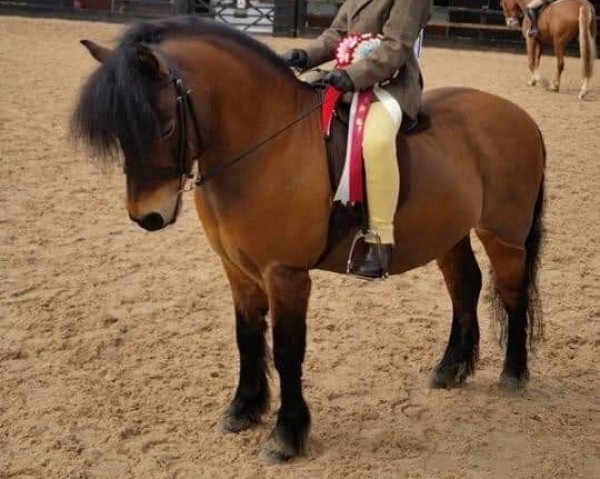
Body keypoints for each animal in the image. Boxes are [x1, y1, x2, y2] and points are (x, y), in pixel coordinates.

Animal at [72, 16, 548, 464]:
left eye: (167, 127)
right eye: (120, 131)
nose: (148, 216)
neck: (264, 143)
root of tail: (520, 115)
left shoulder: (286, 275)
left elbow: (287, 351)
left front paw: (286, 436)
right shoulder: (237, 270)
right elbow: (247, 338)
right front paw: (243, 410)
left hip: (504, 235)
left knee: (512, 293)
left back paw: (513, 374)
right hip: (449, 234)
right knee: (465, 286)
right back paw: (451, 369)